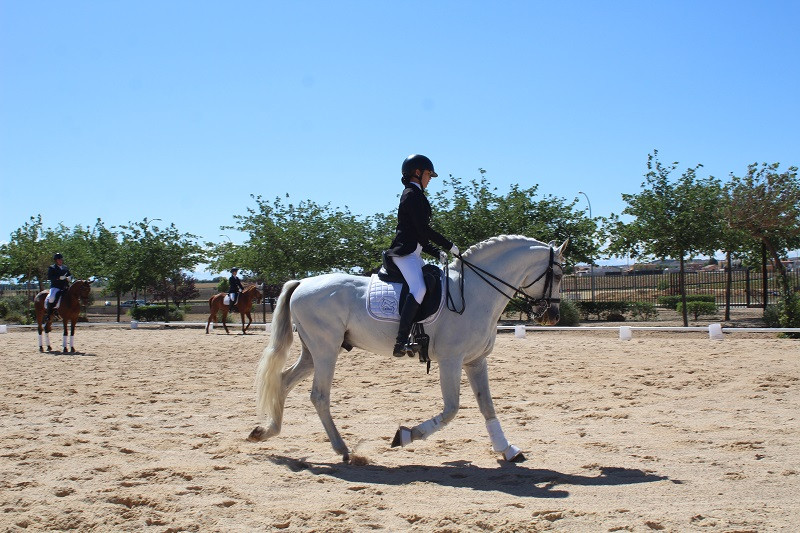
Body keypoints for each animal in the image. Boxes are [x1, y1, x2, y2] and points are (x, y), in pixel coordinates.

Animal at [247, 233, 564, 462]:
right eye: (559, 276)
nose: (553, 316)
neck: (476, 291)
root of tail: (302, 283)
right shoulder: (451, 360)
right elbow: (451, 409)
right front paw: (405, 435)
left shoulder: (475, 361)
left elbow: (486, 405)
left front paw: (508, 450)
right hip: (326, 350)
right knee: (319, 396)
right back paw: (342, 449)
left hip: (314, 352)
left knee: (283, 380)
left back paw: (266, 431)